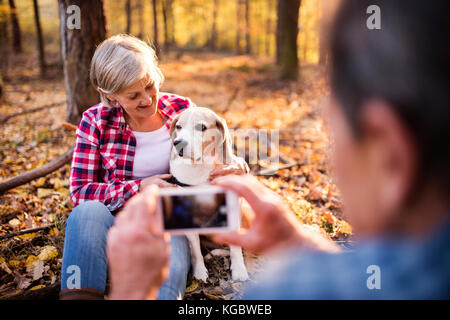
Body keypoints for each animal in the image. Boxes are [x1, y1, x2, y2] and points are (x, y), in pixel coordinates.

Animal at [168, 108, 250, 282]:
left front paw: (239, 270)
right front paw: (199, 272)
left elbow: (235, 247)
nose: (178, 143)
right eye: (178, 126)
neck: (200, 168)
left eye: (201, 127)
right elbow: (195, 251)